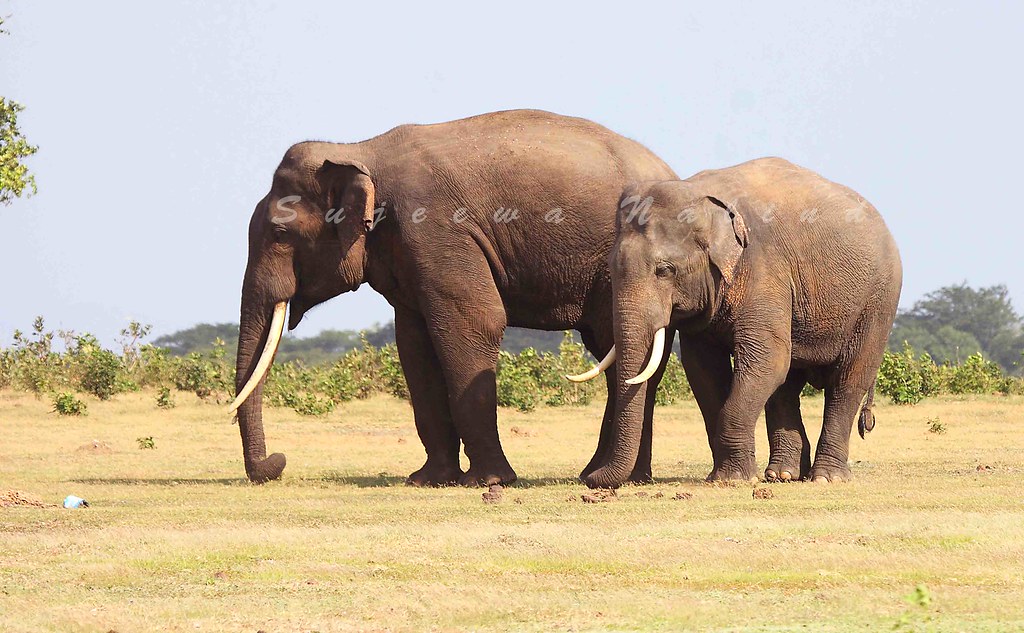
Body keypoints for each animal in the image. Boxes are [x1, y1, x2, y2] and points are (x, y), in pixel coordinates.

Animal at [225, 109, 678, 486]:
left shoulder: (435, 229)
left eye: (280, 233)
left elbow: (475, 323)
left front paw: (489, 481)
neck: (358, 150)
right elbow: (415, 344)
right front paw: (427, 480)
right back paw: (613, 475)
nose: (277, 463)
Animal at [575, 157, 902, 488]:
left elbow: (766, 359)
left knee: (847, 381)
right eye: (611, 268)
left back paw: (825, 478)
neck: (698, 194)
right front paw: (727, 476)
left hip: (878, 302)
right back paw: (782, 475)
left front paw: (733, 480)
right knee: (786, 385)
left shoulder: (764, 268)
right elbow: (703, 369)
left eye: (664, 270)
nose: (589, 477)